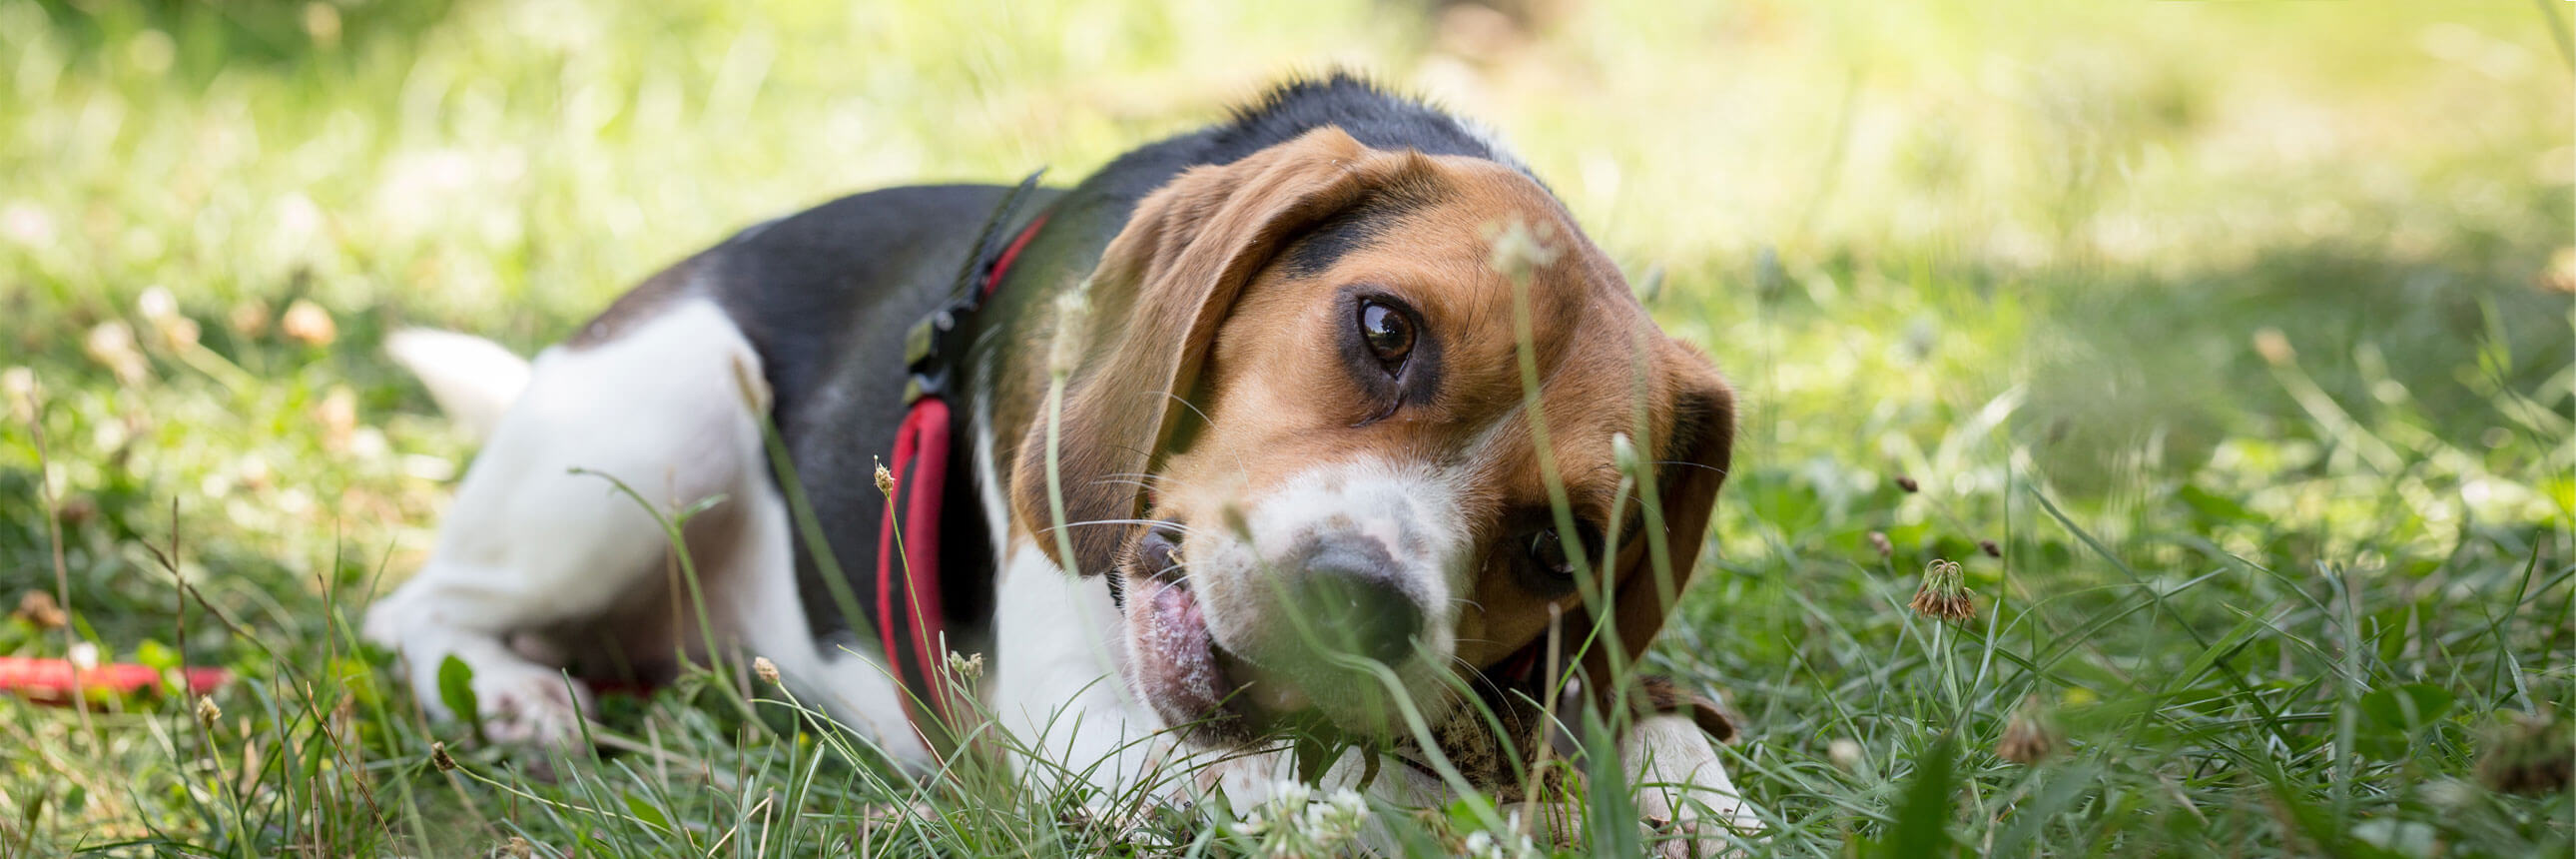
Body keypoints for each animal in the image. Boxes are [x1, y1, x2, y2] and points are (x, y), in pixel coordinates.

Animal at [362, 73, 1761, 840]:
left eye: (1561, 546)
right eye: (1383, 328)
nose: (1358, 605)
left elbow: (1635, 722)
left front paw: (1690, 798)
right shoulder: (1076, 724)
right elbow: (1351, 799)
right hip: (667, 416)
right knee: (415, 605)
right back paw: (512, 693)